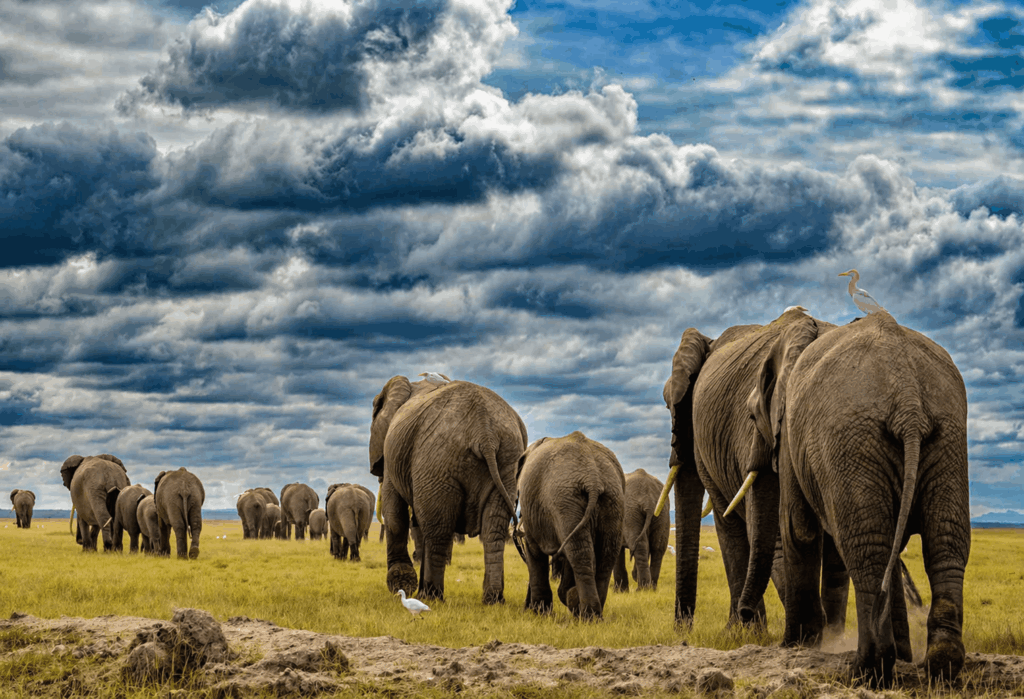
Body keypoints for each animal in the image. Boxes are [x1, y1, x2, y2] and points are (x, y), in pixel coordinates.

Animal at [370, 376, 527, 604]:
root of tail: (485, 432)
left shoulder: (394, 455)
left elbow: (394, 514)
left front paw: (402, 585)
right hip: (507, 461)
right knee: (493, 530)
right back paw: (493, 599)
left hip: (437, 461)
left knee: (438, 530)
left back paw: (431, 595)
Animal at [516, 432, 625, 619]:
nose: (526, 607)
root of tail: (593, 478)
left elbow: (534, 552)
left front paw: (540, 613)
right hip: (611, 499)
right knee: (606, 555)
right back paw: (592, 614)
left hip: (564, 501)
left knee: (579, 555)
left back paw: (587, 615)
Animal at [749, 311, 970, 685]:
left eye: (752, 416)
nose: (745, 616)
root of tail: (908, 397)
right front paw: (905, 656)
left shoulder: (793, 432)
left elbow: (797, 528)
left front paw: (796, 647)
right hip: (948, 435)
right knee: (945, 541)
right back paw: (941, 666)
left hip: (850, 438)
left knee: (867, 549)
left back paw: (866, 669)